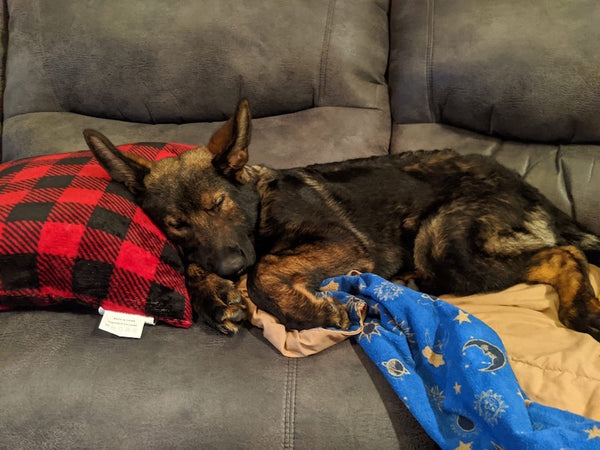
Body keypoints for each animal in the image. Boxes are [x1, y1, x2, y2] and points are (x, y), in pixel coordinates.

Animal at [83, 100, 600, 340]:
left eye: (217, 204)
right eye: (175, 225)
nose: (230, 268)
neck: (258, 205)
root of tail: (525, 184)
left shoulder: (342, 243)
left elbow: (266, 268)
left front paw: (310, 311)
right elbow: (198, 265)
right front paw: (215, 295)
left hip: (444, 243)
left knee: (565, 254)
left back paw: (582, 310)